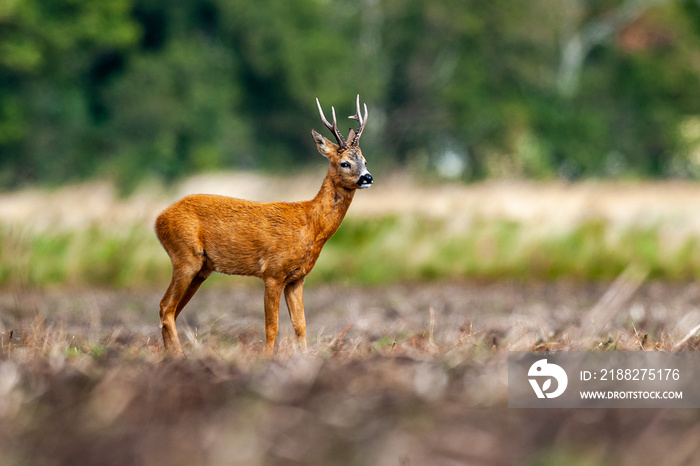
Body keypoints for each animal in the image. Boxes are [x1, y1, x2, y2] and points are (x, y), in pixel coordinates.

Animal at [154, 96, 372, 354]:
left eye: (365, 160)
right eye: (345, 163)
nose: (367, 177)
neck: (310, 225)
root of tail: (158, 220)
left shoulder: (297, 278)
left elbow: (300, 325)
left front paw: (304, 358)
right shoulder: (272, 273)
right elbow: (272, 327)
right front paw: (266, 359)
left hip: (201, 268)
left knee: (171, 310)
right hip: (185, 257)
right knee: (165, 307)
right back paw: (178, 356)